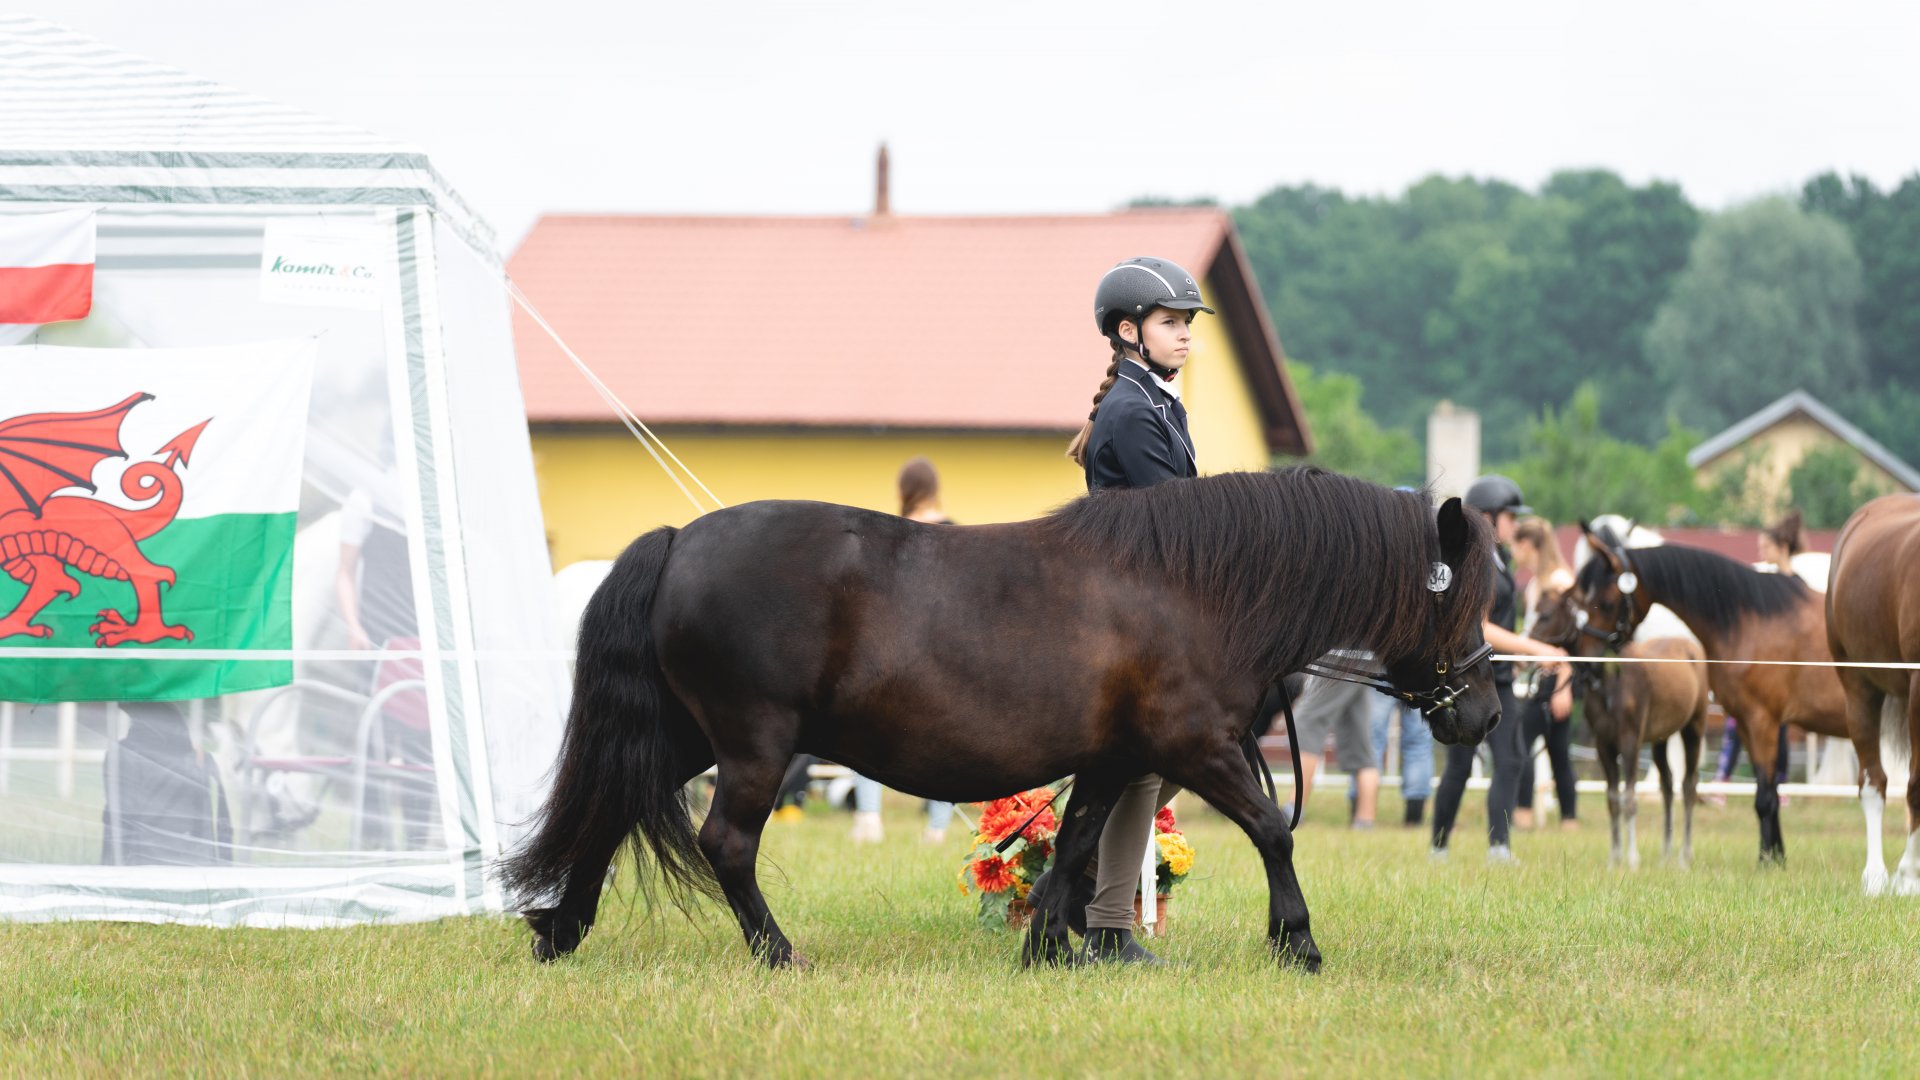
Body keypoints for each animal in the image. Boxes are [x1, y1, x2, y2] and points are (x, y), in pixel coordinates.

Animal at [495, 466, 1497, 972]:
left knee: (611, 808)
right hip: (752, 744)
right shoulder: (1198, 745)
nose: (1485, 716)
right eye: (1464, 597)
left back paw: (561, 932)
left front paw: (1052, 947)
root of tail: (679, 541)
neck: (1190, 587)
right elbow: (1271, 832)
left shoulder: (1112, 756)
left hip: (684, 735)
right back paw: (778, 954)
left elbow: (1079, 843)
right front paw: (1299, 942)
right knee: (726, 843)